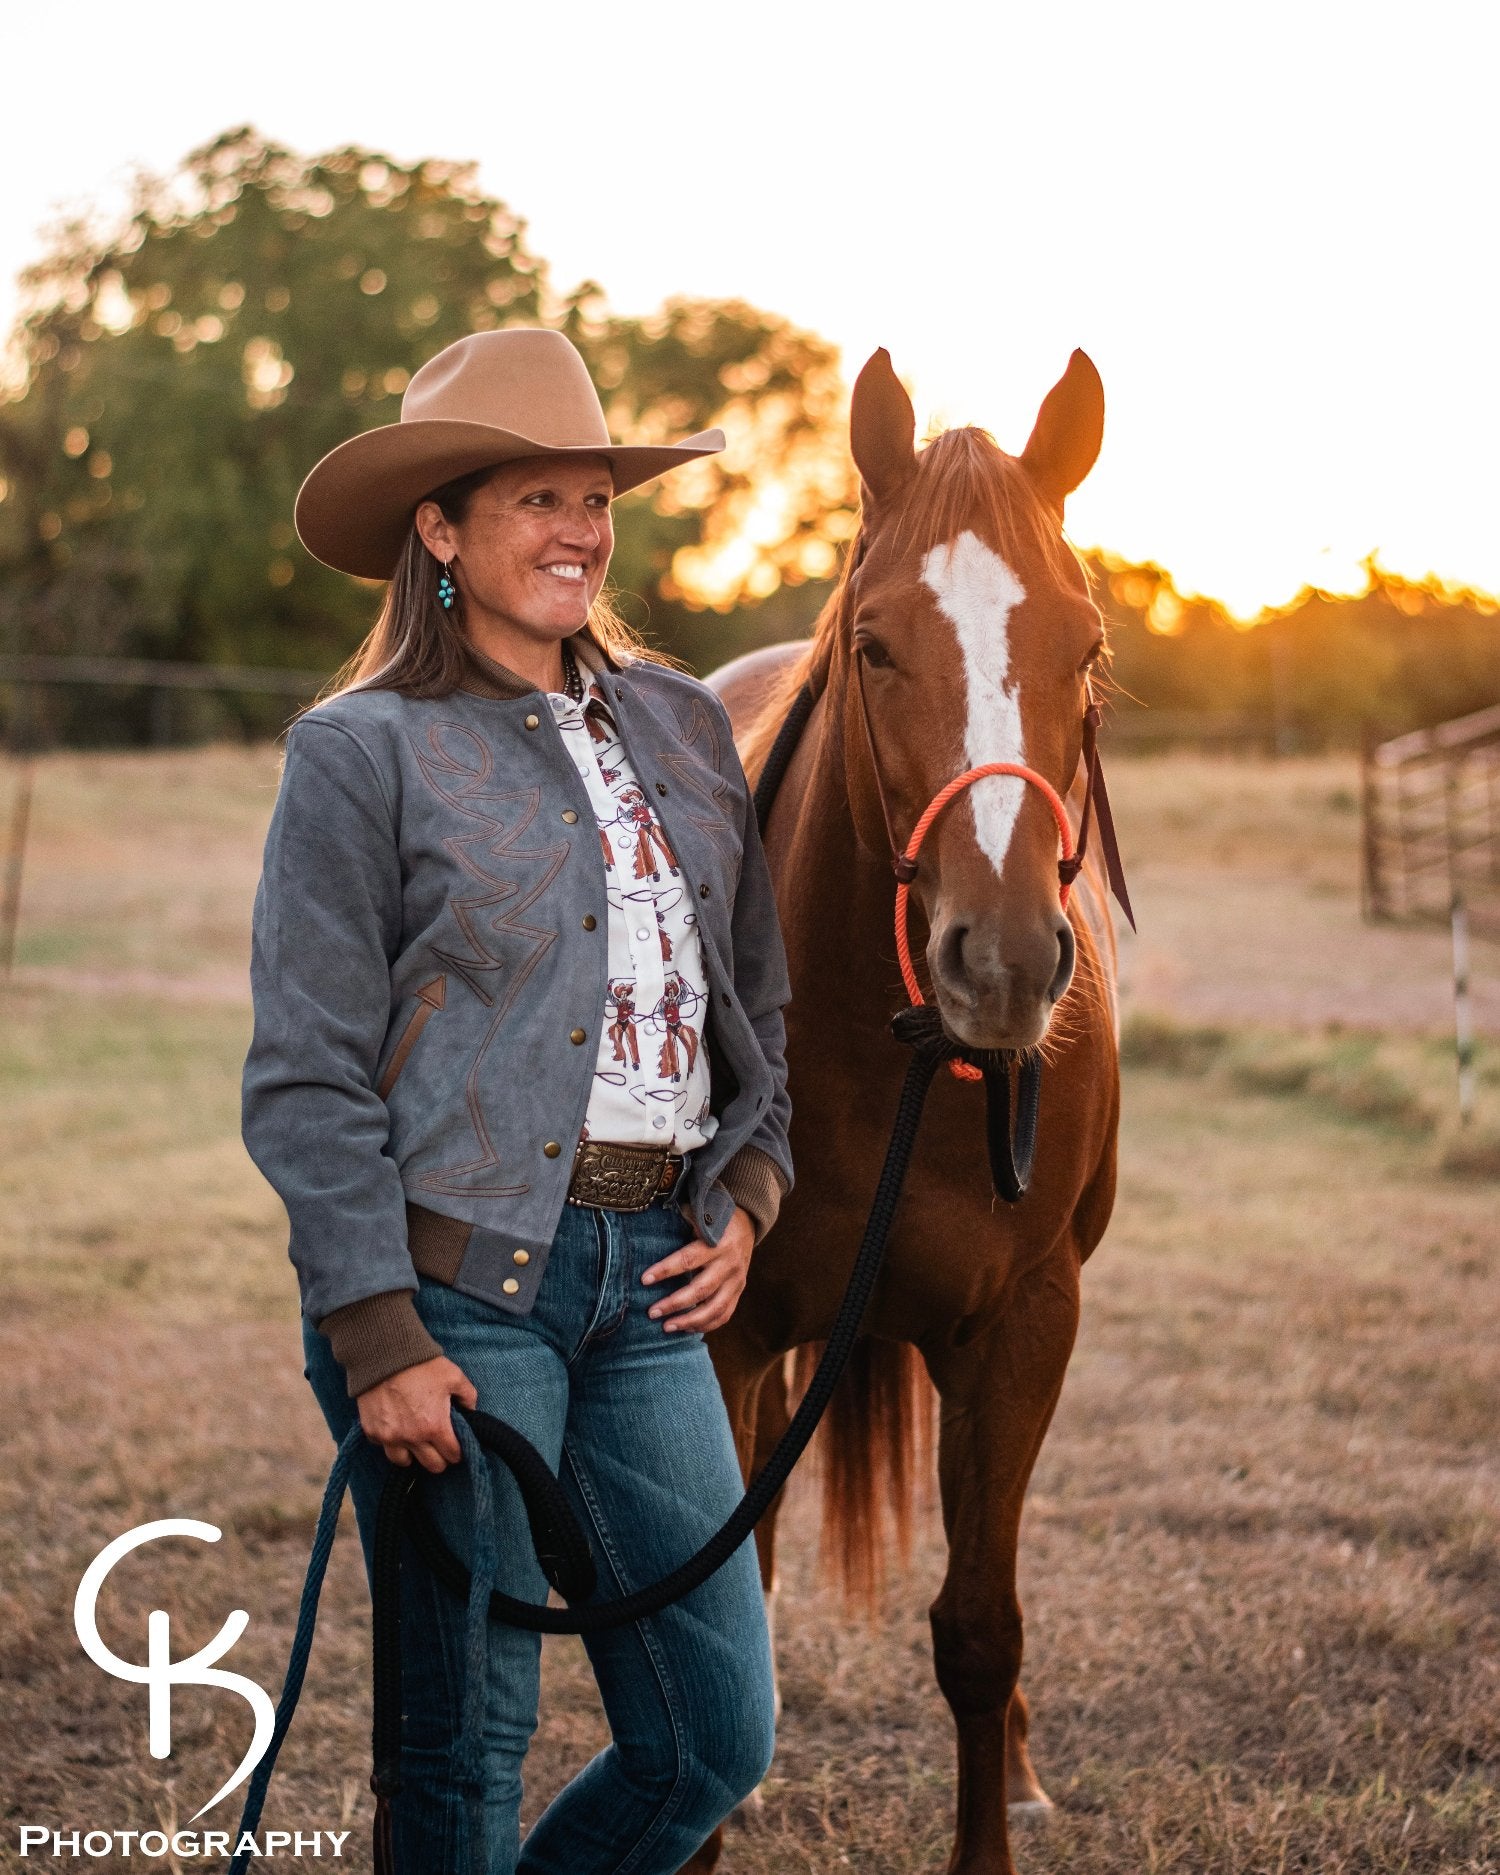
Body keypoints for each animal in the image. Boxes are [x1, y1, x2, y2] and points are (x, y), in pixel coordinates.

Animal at [682, 352, 1125, 1875]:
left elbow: (981, 1629)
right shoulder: (728, 1332)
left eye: (1086, 647)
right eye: (876, 646)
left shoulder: (1023, 1327)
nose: (1003, 959)